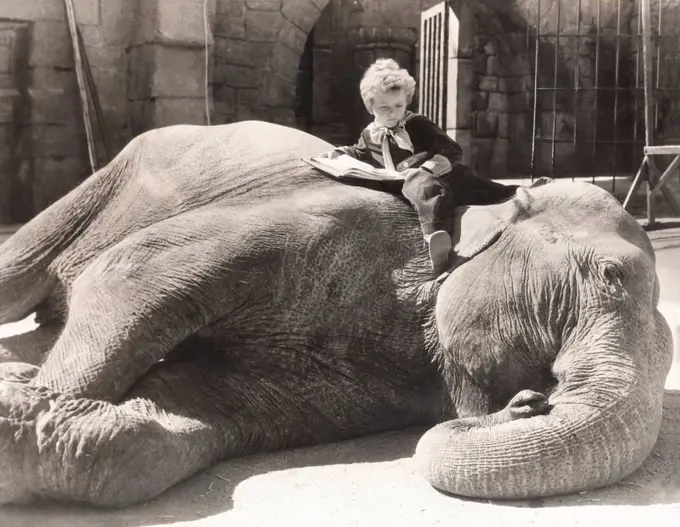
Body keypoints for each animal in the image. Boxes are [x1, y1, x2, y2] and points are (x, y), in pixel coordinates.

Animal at [0, 119, 672, 508]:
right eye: (609, 276)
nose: (531, 402)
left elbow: (189, 412)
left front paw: (30, 402)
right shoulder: (325, 219)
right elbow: (131, 275)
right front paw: (23, 399)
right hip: (110, 179)